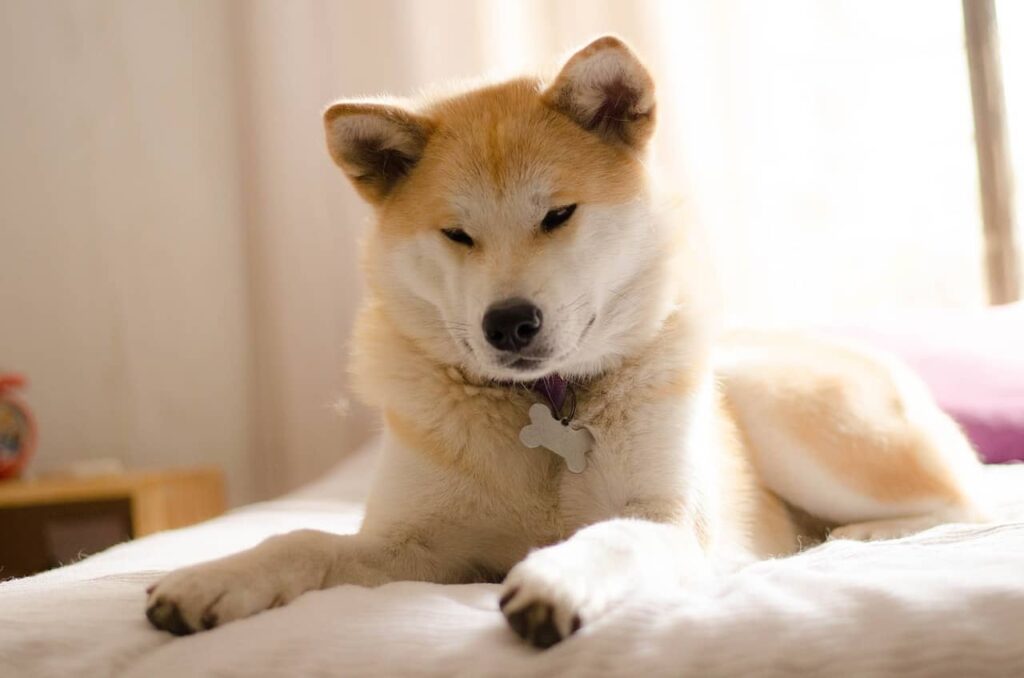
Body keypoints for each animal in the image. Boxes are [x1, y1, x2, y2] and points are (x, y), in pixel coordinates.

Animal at [144, 35, 983, 647]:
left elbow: (613, 535)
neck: (544, 405)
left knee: (963, 500)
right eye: (456, 234)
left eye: (558, 215)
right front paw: (211, 578)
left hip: (780, 407)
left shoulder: (670, 522)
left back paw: (858, 533)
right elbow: (302, 541)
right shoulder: (418, 548)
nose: (508, 322)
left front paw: (557, 577)